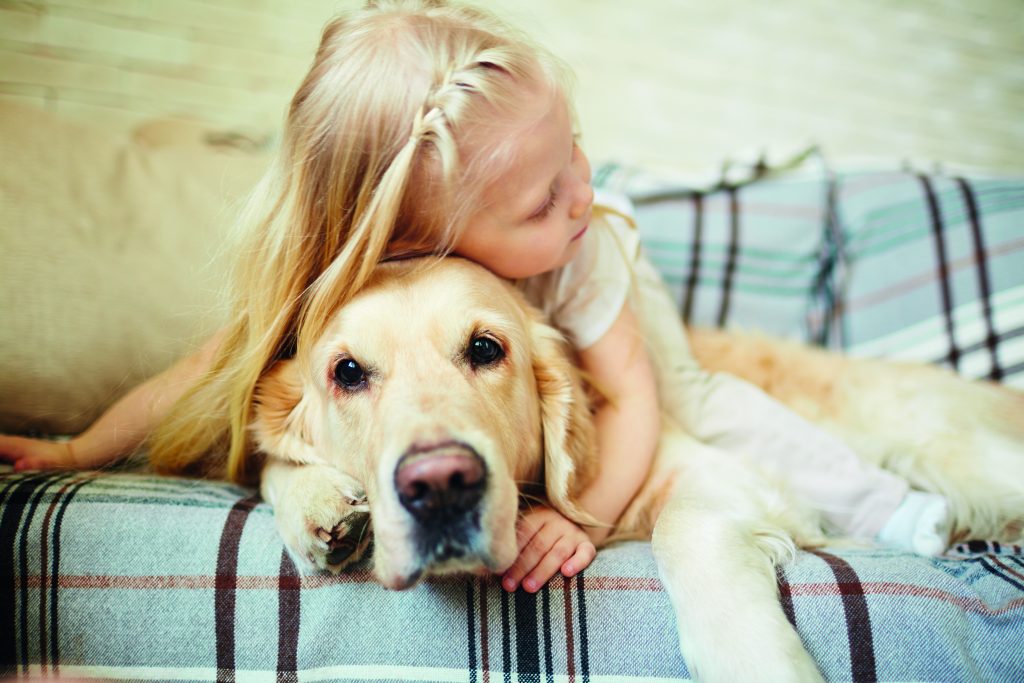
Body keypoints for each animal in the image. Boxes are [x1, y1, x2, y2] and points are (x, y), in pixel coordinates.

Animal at [249, 253, 1024, 679]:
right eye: (347, 372)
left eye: (486, 349)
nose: (440, 487)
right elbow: (268, 463)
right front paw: (323, 506)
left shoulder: (718, 473)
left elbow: (680, 531)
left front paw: (757, 663)